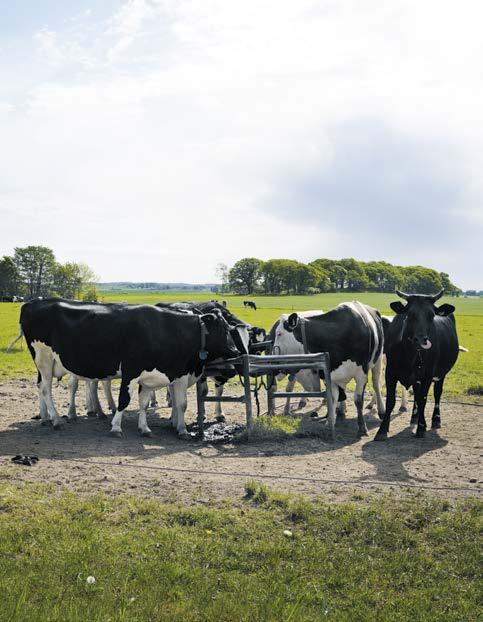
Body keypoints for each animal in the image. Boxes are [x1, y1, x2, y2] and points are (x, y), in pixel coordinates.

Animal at [19, 298, 241, 438]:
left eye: (230, 328)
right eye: (223, 329)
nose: (236, 350)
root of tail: (32, 303)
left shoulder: (161, 375)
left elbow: (159, 403)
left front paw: (161, 429)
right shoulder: (131, 371)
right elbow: (124, 400)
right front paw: (116, 427)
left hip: (47, 364)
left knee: (41, 386)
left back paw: (45, 418)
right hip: (44, 358)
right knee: (46, 389)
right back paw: (56, 420)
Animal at [374, 290, 462, 442]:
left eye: (431, 315)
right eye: (410, 314)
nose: (421, 339)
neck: (410, 354)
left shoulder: (427, 375)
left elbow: (423, 401)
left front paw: (421, 428)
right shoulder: (390, 373)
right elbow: (391, 401)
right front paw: (382, 430)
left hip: (441, 373)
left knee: (437, 393)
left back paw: (435, 419)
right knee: (416, 392)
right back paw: (414, 418)